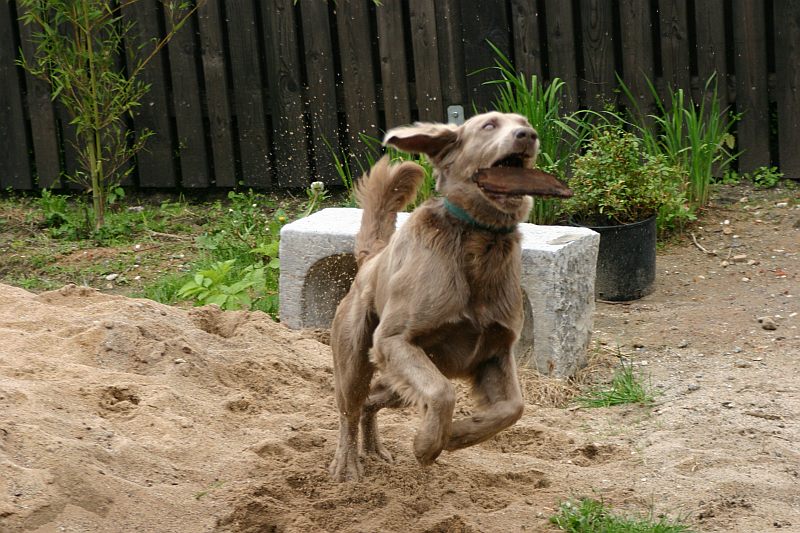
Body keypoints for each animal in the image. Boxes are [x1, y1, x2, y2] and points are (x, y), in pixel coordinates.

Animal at [328, 110, 572, 480]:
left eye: (525, 122)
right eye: (489, 125)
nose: (527, 135)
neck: (478, 241)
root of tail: (371, 260)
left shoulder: (496, 351)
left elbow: (512, 408)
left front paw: (456, 435)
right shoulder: (395, 341)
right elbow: (443, 393)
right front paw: (427, 444)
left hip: (401, 379)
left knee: (372, 400)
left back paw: (374, 450)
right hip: (358, 357)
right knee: (350, 410)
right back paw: (347, 466)